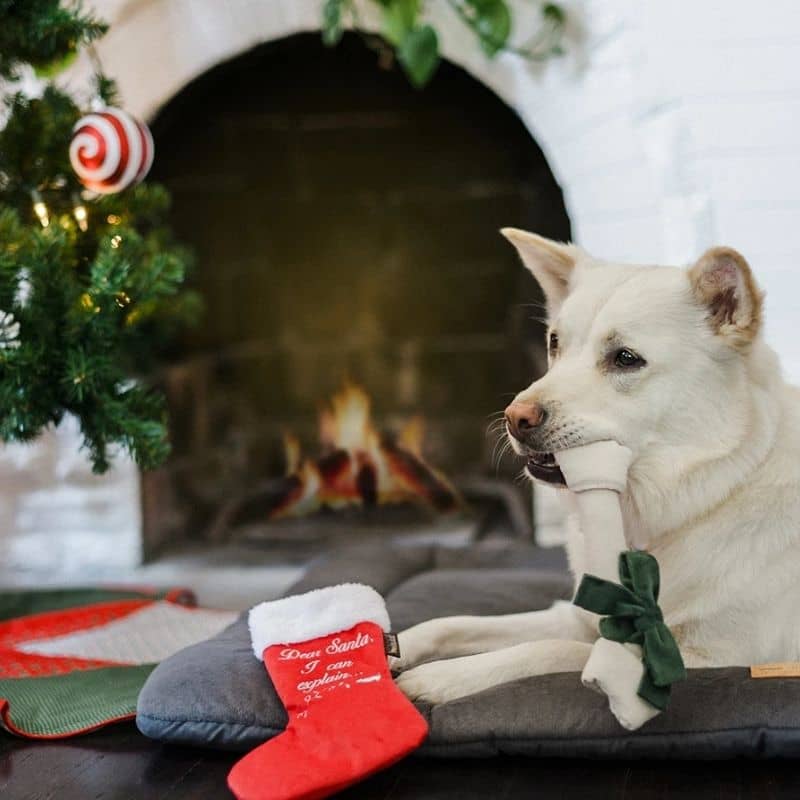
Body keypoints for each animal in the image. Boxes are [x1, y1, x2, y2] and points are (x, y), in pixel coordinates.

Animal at [396, 228, 800, 704]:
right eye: (554, 344)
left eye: (625, 358)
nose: (514, 418)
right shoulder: (579, 617)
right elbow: (455, 623)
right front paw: (392, 643)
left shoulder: (706, 658)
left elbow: (547, 649)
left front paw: (441, 677)